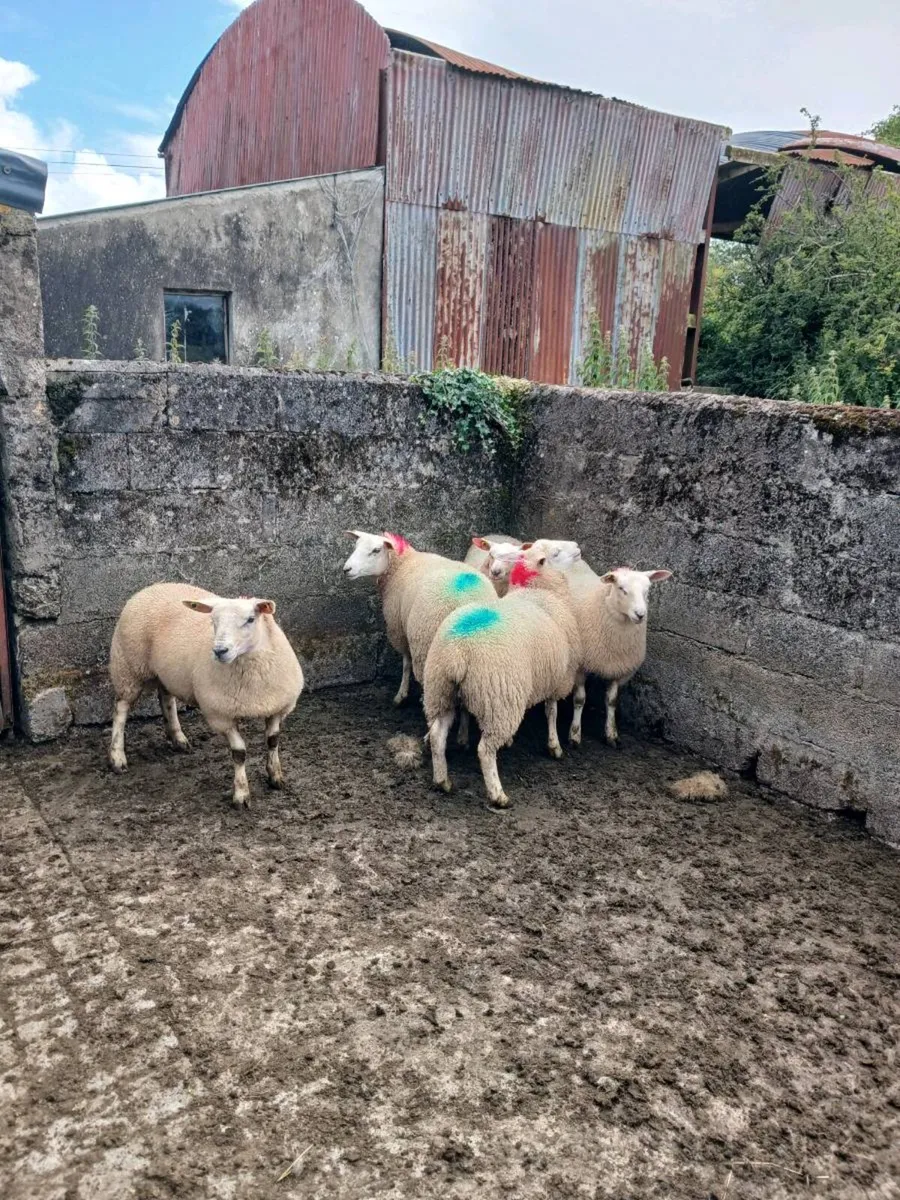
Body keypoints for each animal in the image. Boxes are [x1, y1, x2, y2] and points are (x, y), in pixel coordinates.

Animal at [108, 583, 304, 808]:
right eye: (213, 621)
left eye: (250, 619)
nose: (220, 650)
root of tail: (152, 586)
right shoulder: (221, 715)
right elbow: (239, 754)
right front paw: (241, 794)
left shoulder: (276, 707)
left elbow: (272, 741)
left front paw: (276, 778)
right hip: (129, 668)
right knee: (120, 709)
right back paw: (117, 757)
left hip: (166, 672)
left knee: (166, 698)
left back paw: (178, 739)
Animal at [423, 557, 582, 809]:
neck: (540, 592)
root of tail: (458, 651)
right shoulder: (557, 680)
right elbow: (552, 713)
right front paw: (554, 746)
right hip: (500, 698)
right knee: (485, 750)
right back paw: (498, 795)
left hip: (441, 690)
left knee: (437, 735)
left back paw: (442, 782)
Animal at [567, 566, 672, 749]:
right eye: (622, 589)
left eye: (647, 589)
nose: (640, 614)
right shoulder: (580, 666)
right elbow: (579, 700)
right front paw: (575, 735)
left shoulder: (618, 667)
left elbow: (612, 701)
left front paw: (611, 734)